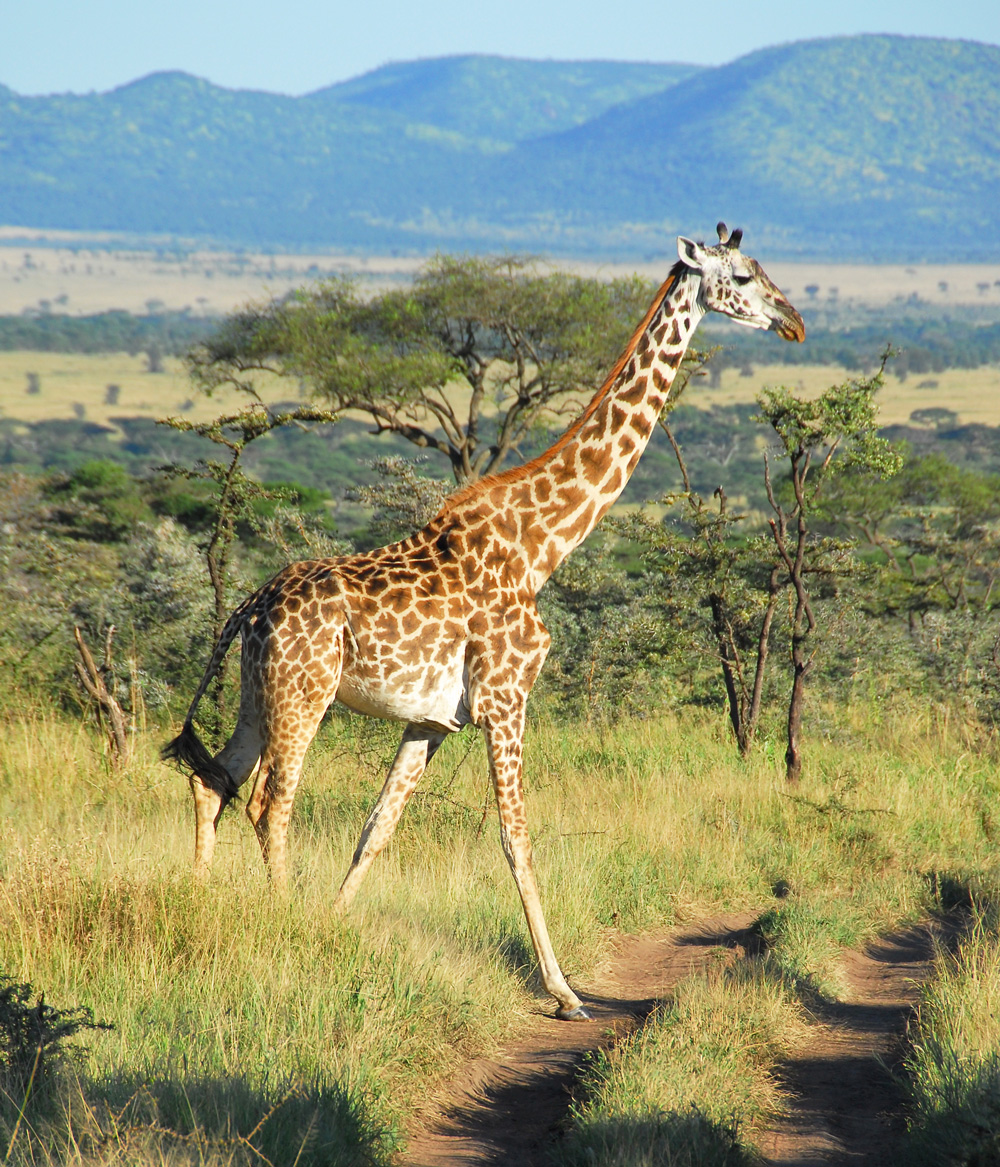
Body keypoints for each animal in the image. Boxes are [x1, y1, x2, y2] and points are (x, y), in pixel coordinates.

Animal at [164, 223, 804, 1021]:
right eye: (742, 277)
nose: (794, 321)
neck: (543, 545)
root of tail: (250, 606)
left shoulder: (433, 719)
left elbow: (376, 830)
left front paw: (332, 925)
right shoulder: (506, 695)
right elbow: (516, 838)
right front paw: (563, 991)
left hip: (259, 693)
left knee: (213, 783)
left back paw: (200, 904)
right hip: (303, 693)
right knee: (269, 803)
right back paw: (276, 925)